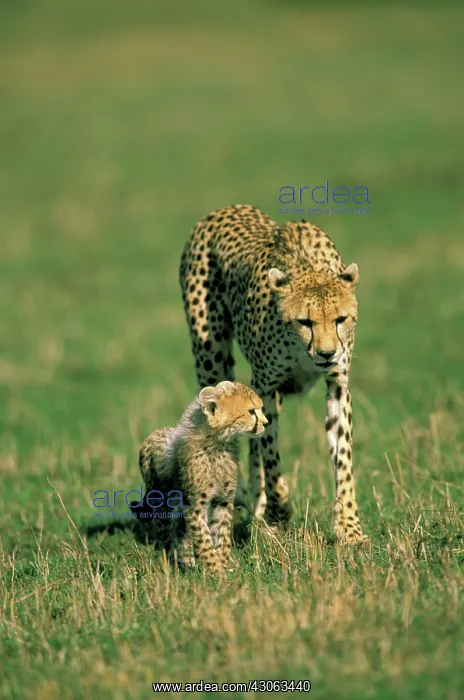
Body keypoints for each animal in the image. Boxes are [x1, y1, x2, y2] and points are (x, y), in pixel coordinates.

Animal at [138, 380, 267, 574]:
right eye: (251, 411)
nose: (266, 423)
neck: (217, 445)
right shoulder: (195, 504)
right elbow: (203, 537)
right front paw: (214, 569)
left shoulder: (223, 499)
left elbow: (221, 533)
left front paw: (222, 565)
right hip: (161, 500)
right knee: (167, 532)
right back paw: (176, 563)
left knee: (181, 529)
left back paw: (188, 562)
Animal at [179, 204, 366, 545]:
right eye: (304, 321)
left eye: (340, 319)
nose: (327, 353)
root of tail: (225, 208)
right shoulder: (265, 387)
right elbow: (271, 456)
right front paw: (280, 513)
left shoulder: (337, 384)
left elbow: (342, 458)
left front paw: (349, 529)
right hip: (210, 355)